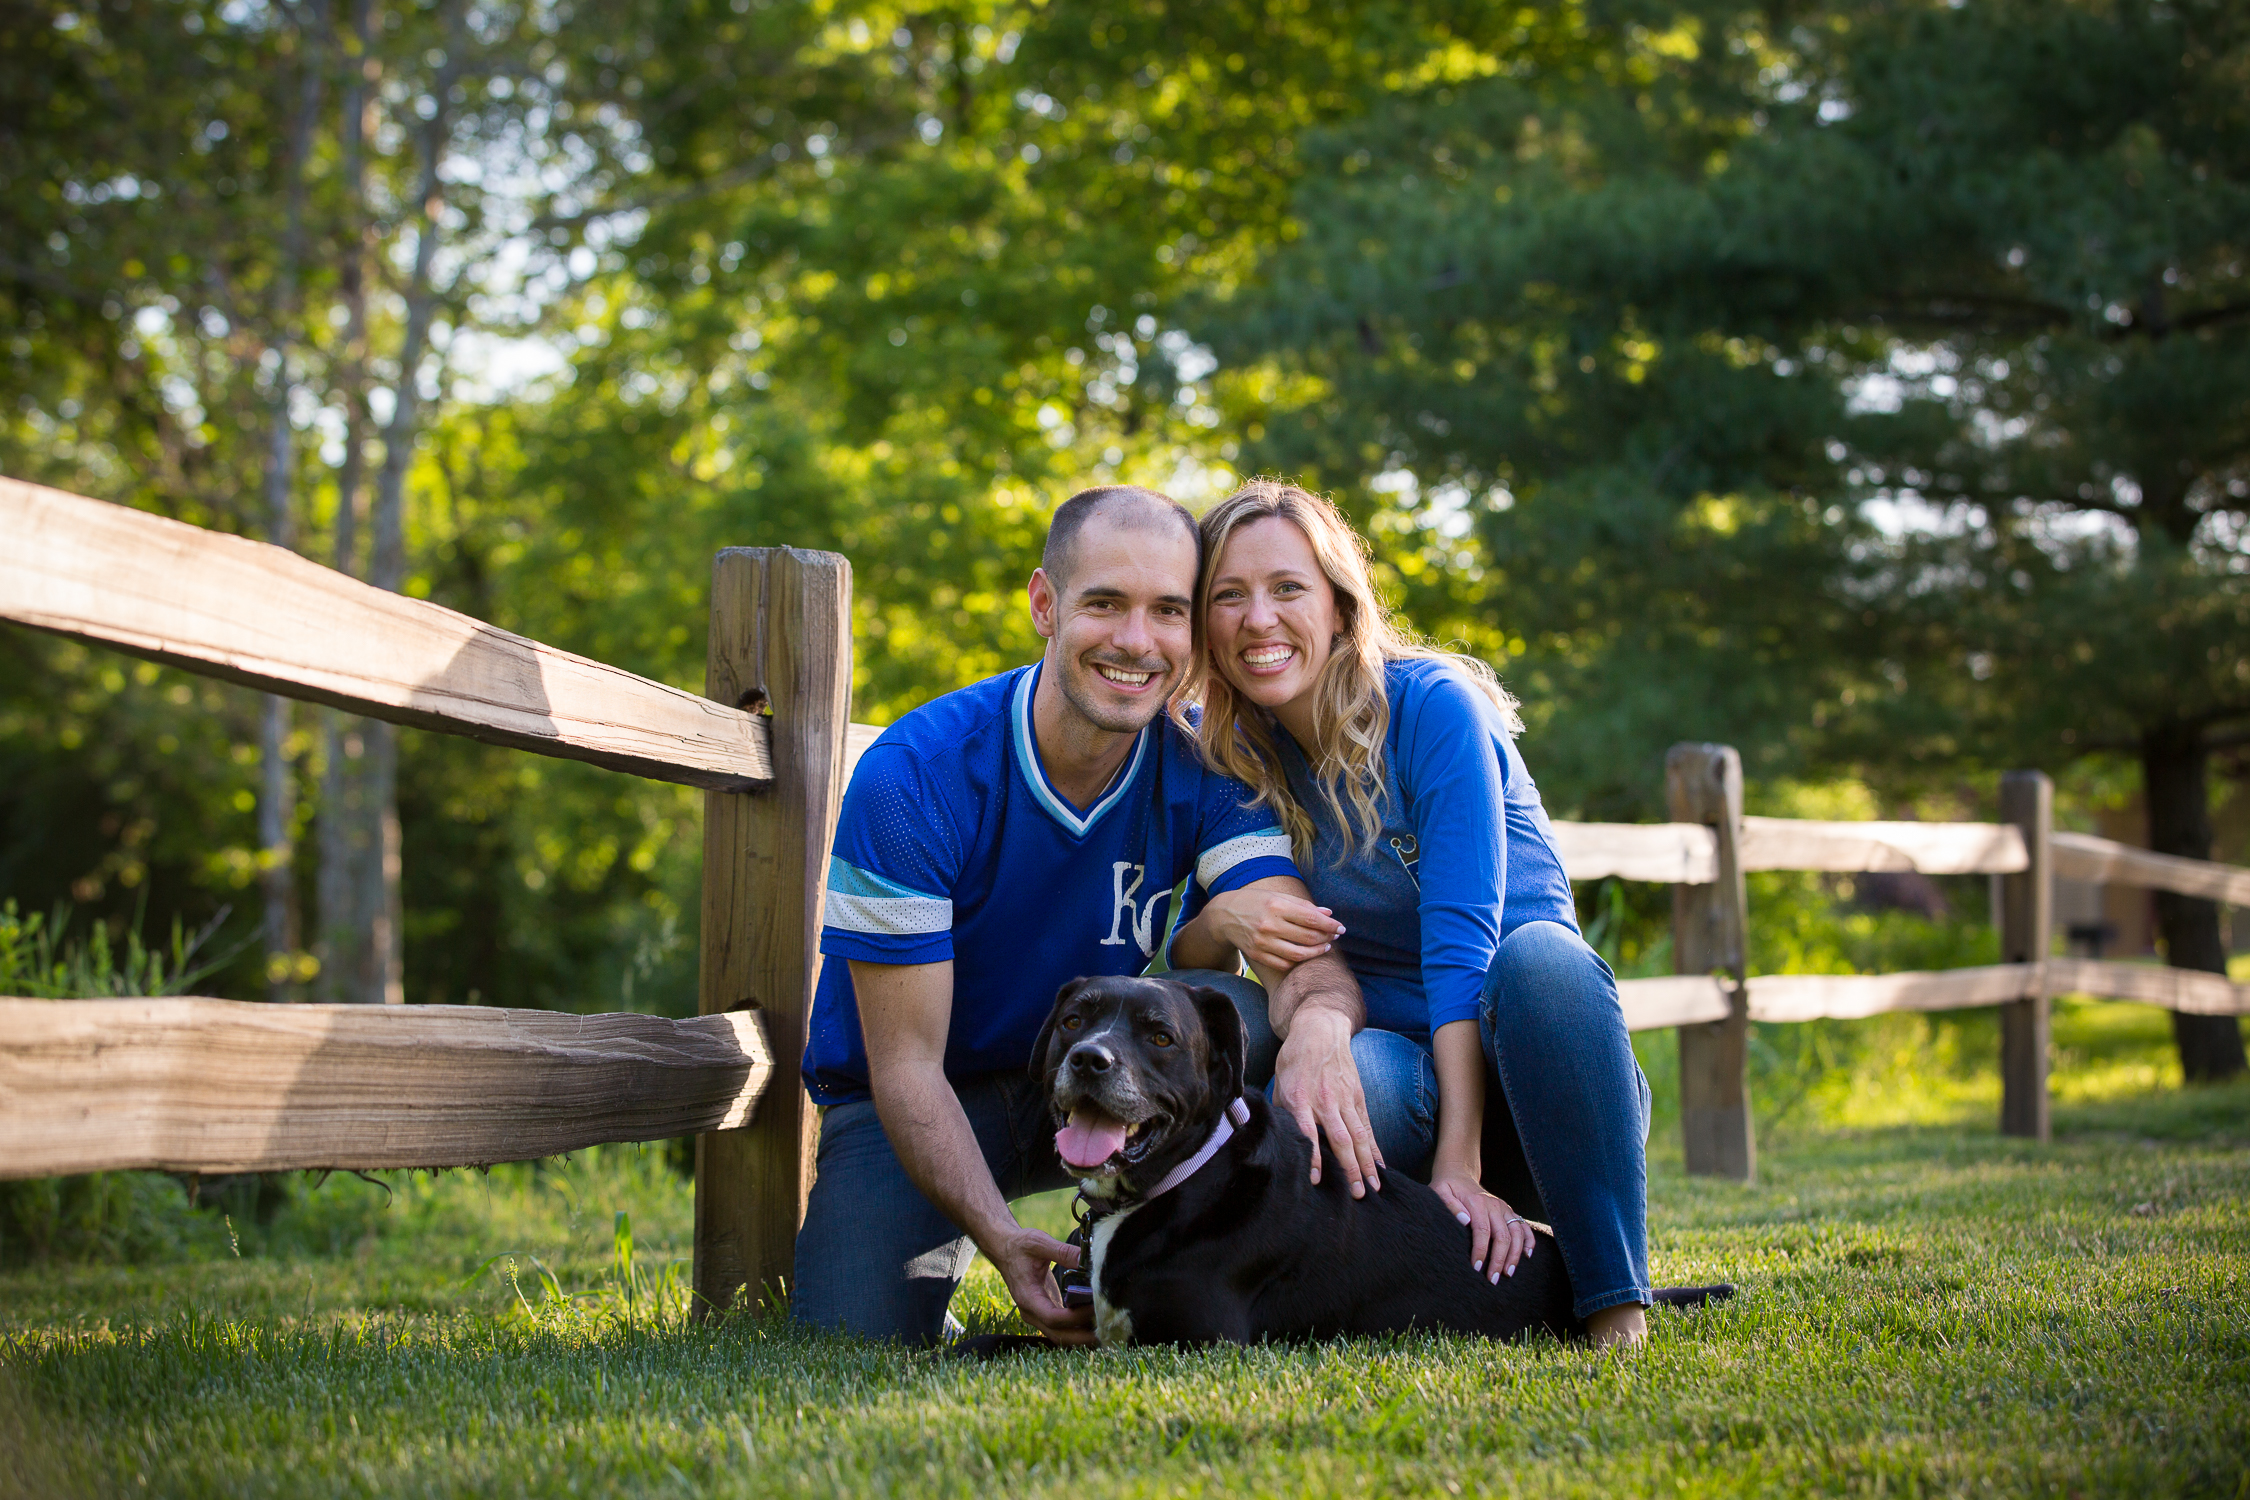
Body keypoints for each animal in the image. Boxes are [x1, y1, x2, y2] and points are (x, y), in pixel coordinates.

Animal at [976, 976, 1728, 1349]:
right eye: (1074, 1020)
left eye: (1160, 1036)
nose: (1089, 1060)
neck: (1182, 1180)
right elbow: (1002, 1344)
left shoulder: (1187, 1341)